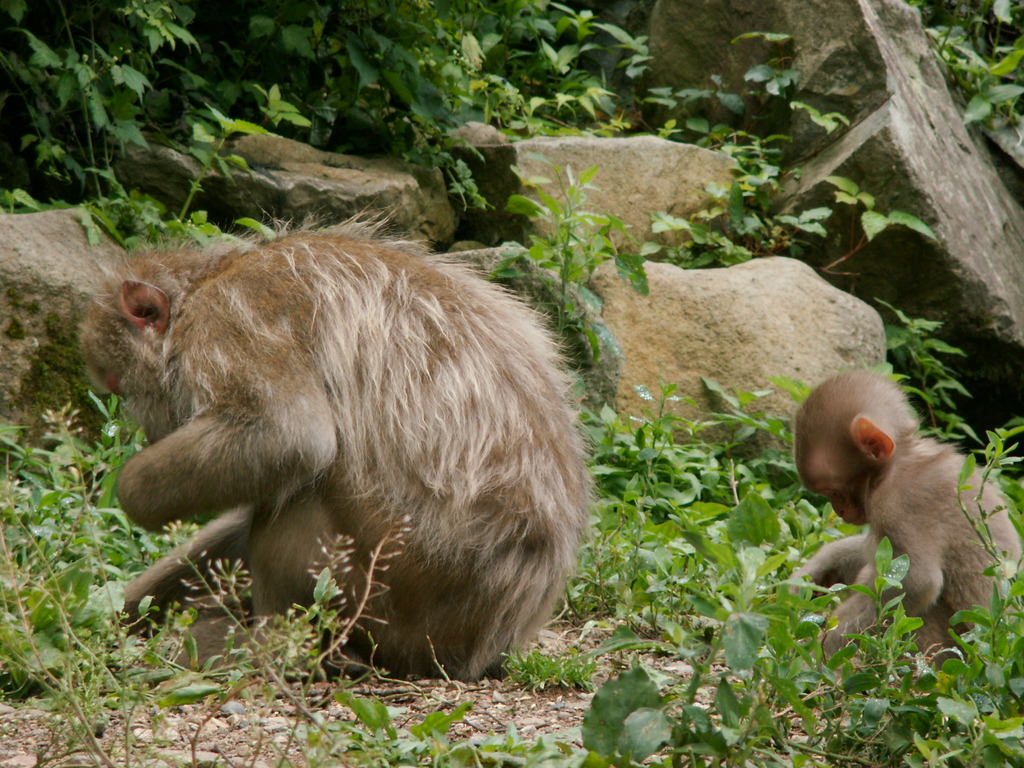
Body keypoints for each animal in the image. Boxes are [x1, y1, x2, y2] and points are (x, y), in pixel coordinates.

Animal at [80, 221, 593, 679]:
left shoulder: (230, 318)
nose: (145, 431)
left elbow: (288, 436)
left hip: (404, 586)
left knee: (307, 489)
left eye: (119, 385)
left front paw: (130, 493)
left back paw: (273, 650)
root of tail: (497, 638)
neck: (208, 281)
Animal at [790, 370, 1015, 659]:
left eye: (834, 492)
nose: (840, 511)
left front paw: (821, 651)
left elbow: (915, 582)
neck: (902, 460)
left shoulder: (899, 504)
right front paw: (812, 572)